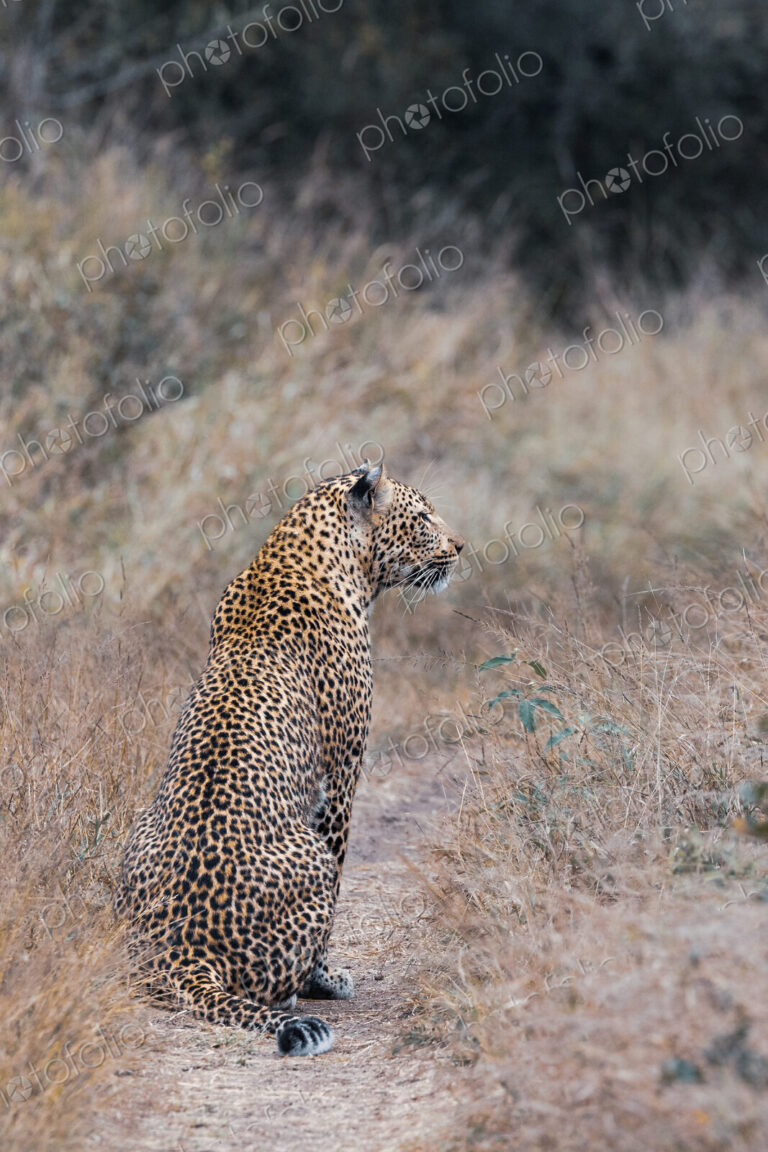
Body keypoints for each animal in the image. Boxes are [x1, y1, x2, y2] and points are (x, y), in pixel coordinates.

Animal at [114, 461, 464, 1056]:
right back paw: (297, 992)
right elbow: (342, 870)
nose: (459, 546)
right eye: (422, 517)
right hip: (311, 863)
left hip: (137, 836)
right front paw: (327, 979)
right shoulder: (342, 774)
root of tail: (183, 950)